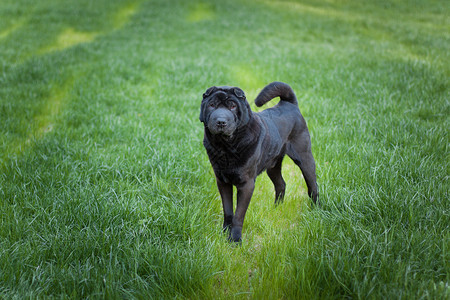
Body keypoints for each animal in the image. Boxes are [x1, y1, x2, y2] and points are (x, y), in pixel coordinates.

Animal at [200, 81, 320, 243]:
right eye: (212, 105)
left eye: (233, 106)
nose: (221, 121)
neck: (226, 147)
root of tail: (289, 104)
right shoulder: (223, 181)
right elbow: (228, 211)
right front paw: (224, 233)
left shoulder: (246, 184)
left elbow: (238, 215)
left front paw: (235, 240)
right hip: (273, 165)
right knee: (281, 184)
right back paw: (276, 209)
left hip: (304, 157)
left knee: (313, 186)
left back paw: (315, 211)